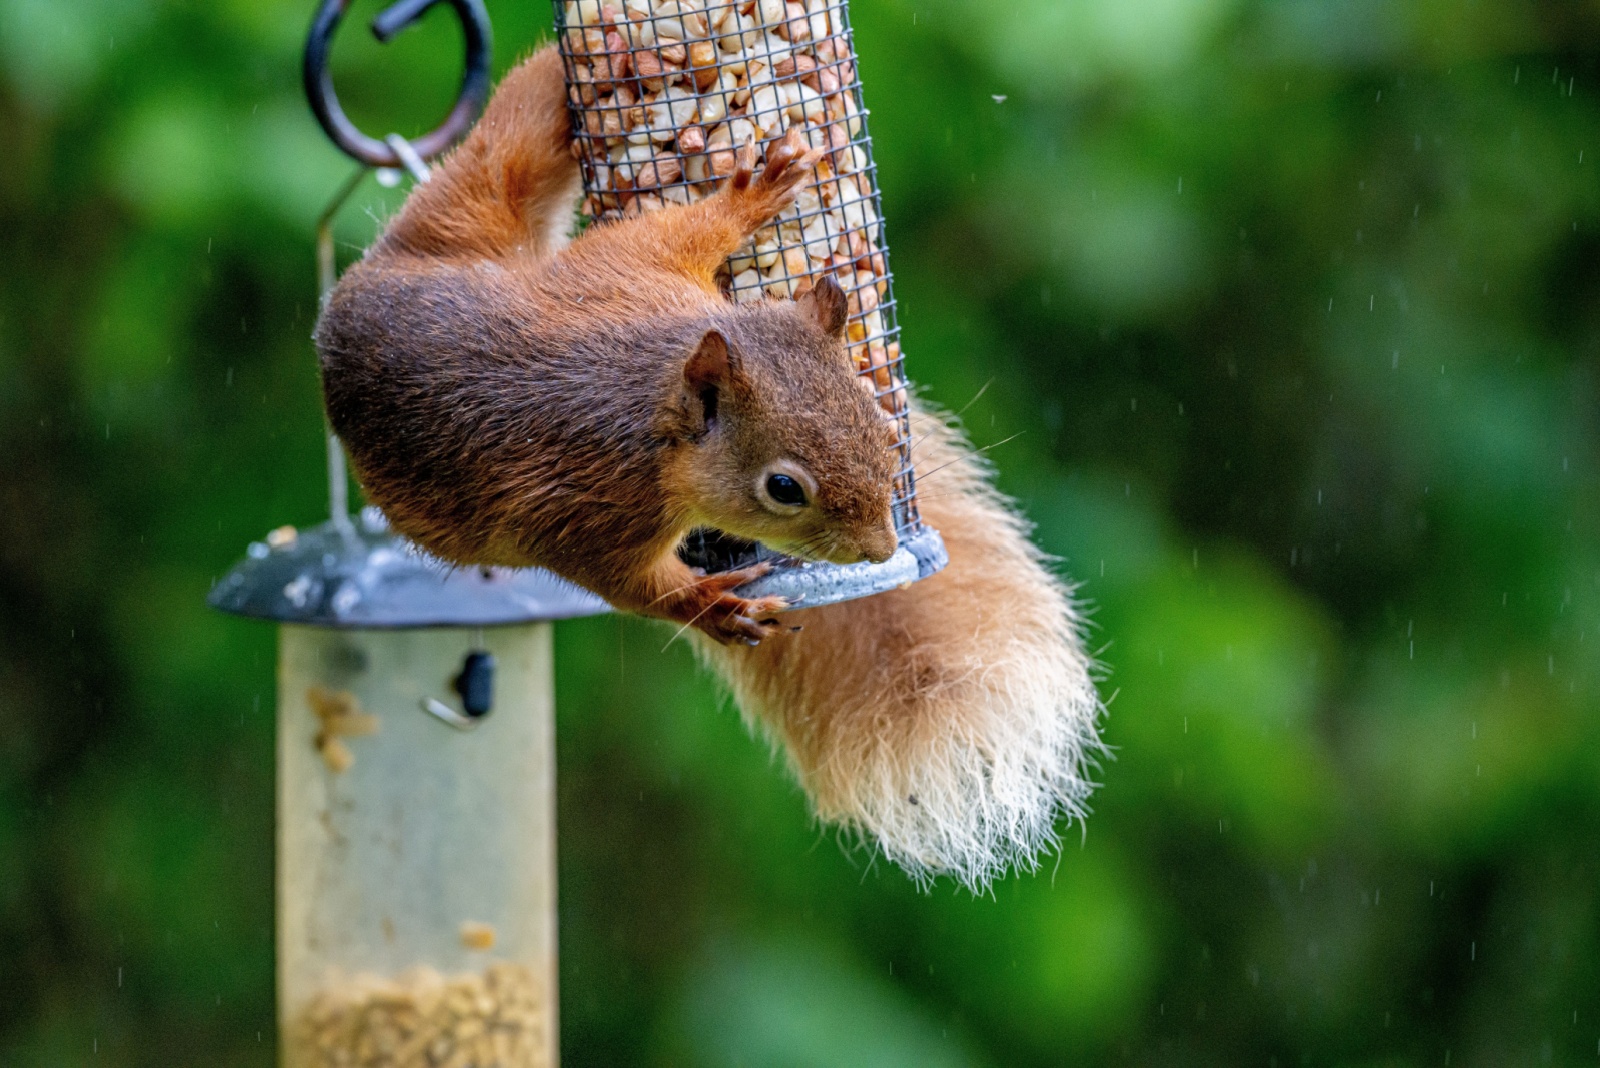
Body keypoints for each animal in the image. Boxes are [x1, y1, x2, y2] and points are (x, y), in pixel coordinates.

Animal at [316, 46, 898, 646]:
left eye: (886, 432)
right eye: (784, 488)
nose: (880, 551)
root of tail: (375, 271)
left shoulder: (634, 265)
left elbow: (687, 227)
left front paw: (754, 195)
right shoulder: (589, 514)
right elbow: (633, 586)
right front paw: (714, 605)